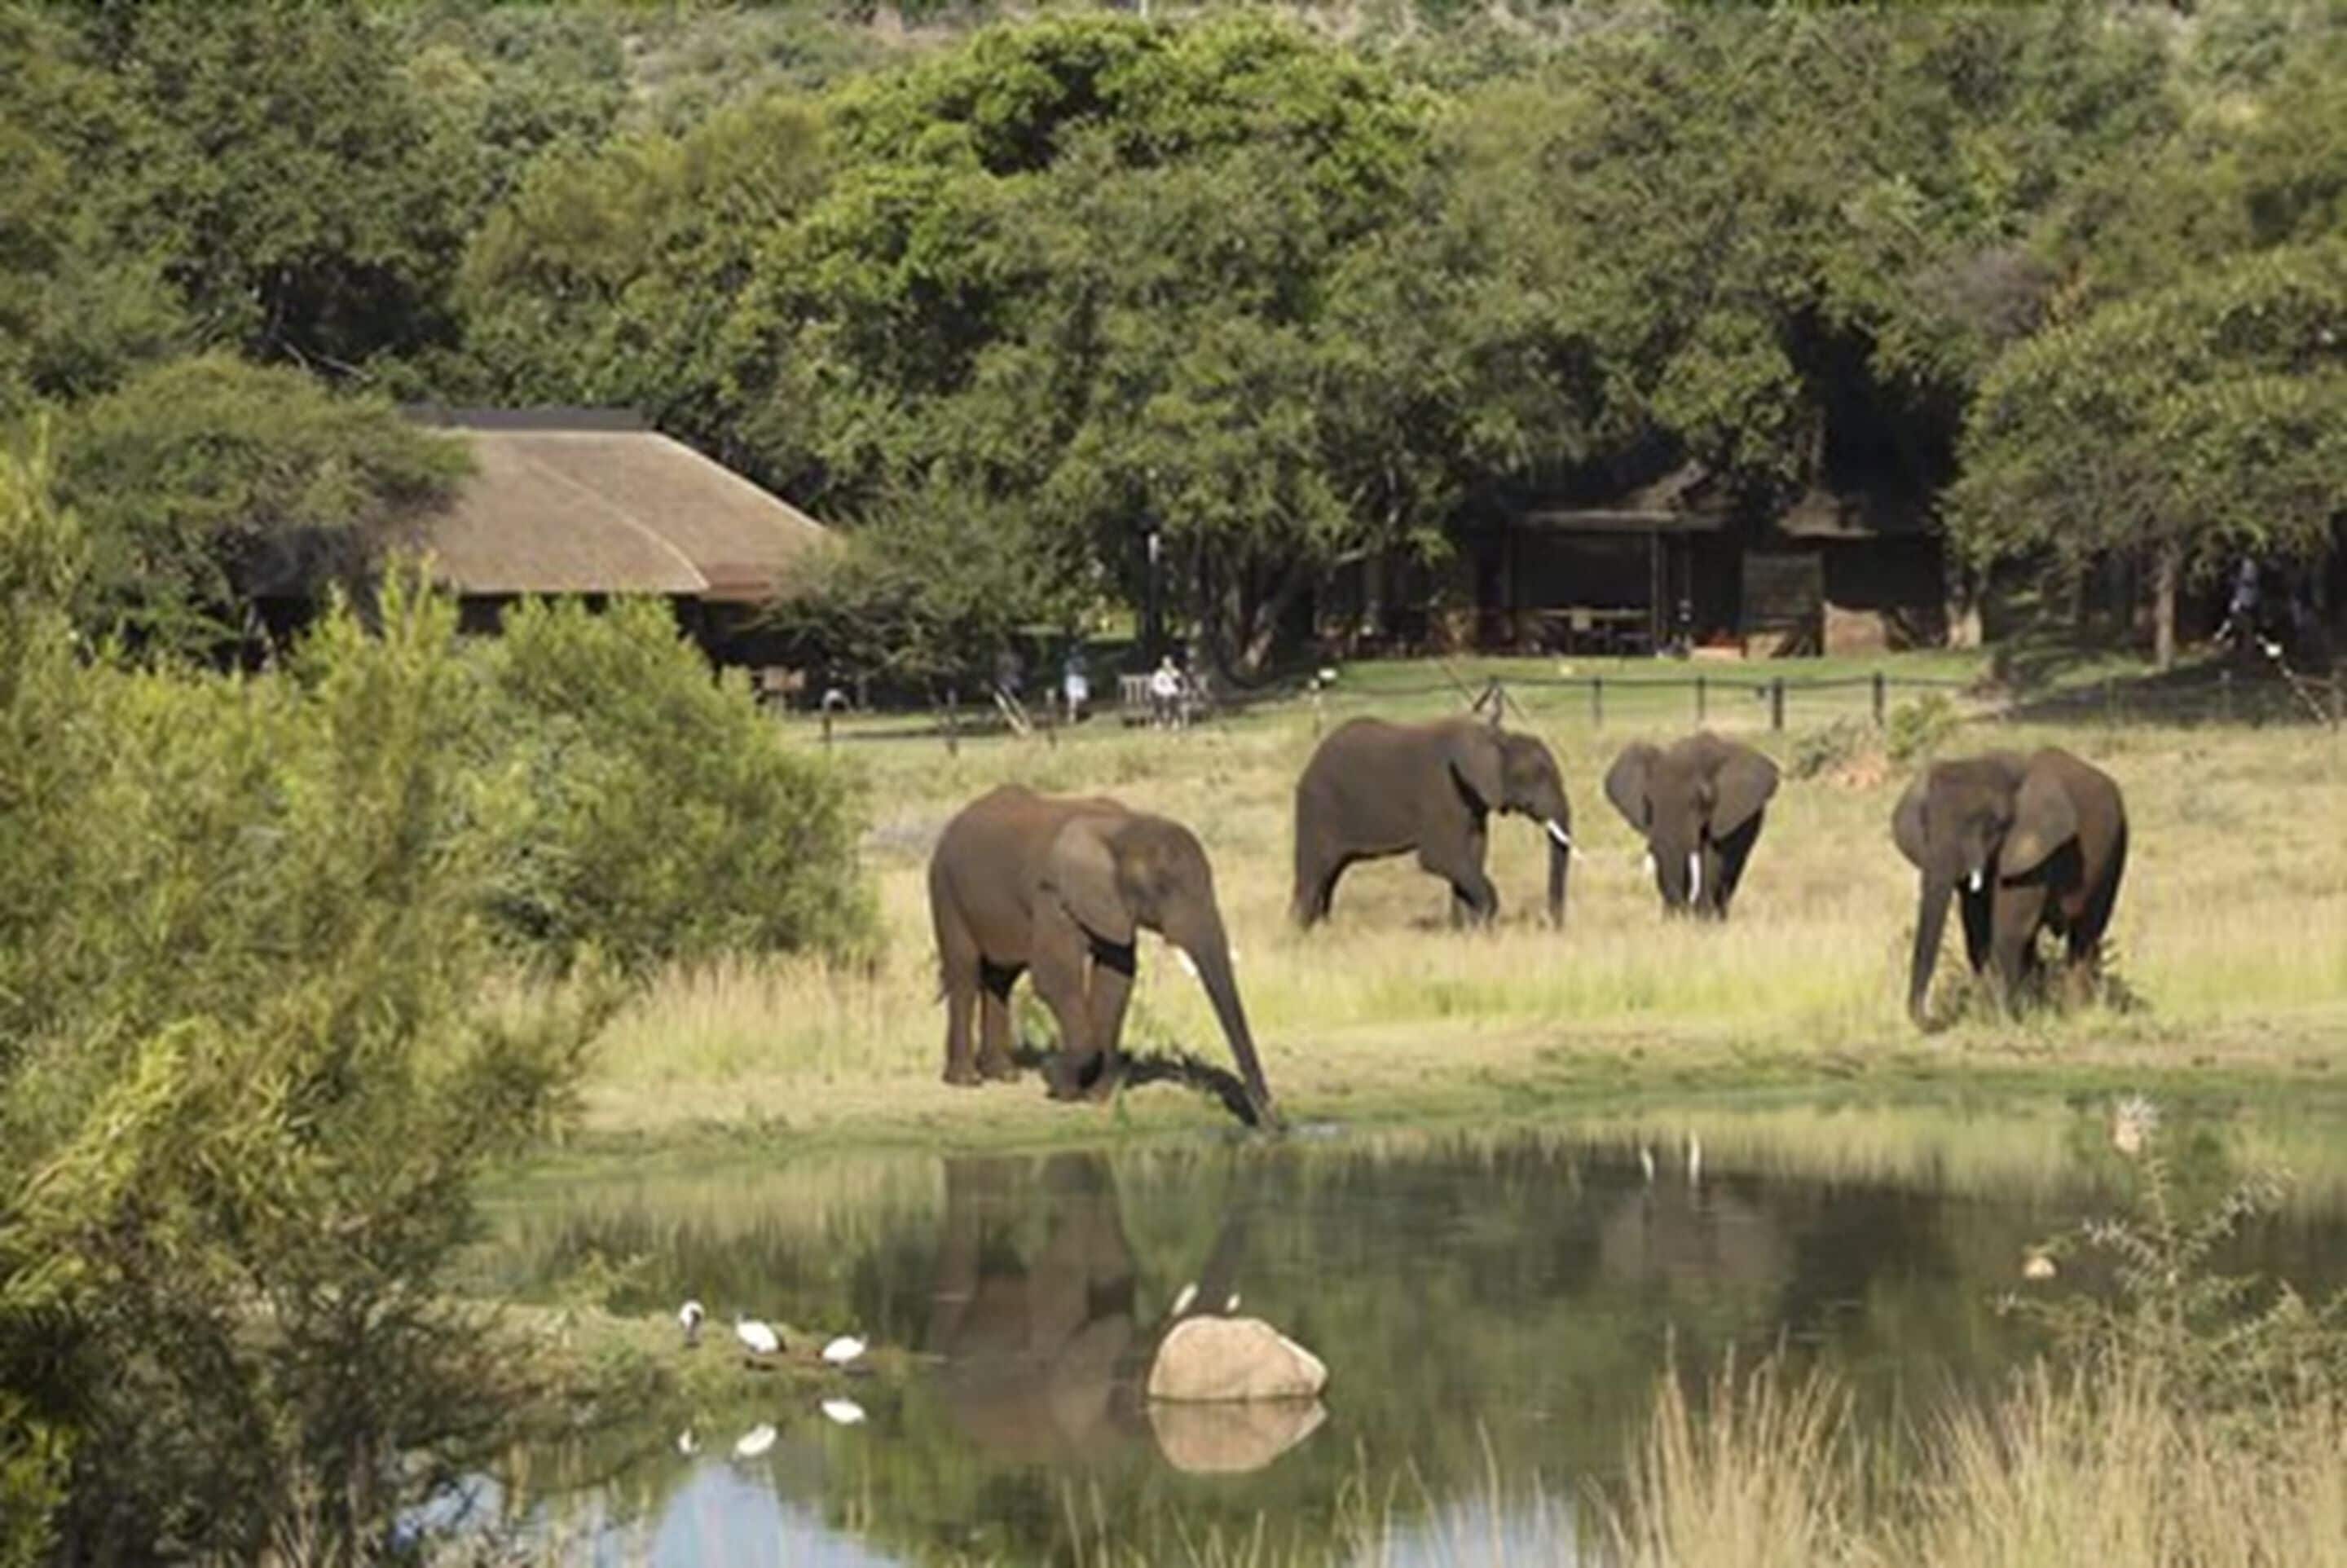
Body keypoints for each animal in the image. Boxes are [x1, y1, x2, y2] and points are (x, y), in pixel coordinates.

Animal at [928, 785, 1279, 1129]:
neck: (1122, 828)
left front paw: (1095, 1096)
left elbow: (1116, 977)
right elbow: (1055, 977)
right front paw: (1059, 1081)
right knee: (965, 971)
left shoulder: (1114, 904)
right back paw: (966, 1080)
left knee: (1001, 978)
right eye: (1163, 888)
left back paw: (1004, 1074)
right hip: (945, 887)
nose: (1273, 1126)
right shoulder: (1052, 896)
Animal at [1290, 717, 1574, 928]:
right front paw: (1483, 921)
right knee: (1314, 869)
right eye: (1535, 776)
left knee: (1331, 873)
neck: (1494, 738)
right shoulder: (1444, 793)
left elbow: (1473, 853)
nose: (1551, 924)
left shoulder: (1472, 804)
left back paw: (1323, 928)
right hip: (1318, 807)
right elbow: (1439, 858)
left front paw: (1464, 931)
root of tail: (1312, 761)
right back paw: (1300, 934)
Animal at [1891, 747, 2128, 1026]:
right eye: (1925, 823)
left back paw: (2079, 1013)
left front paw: (2001, 1017)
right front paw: (1988, 1015)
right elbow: (1977, 929)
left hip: (2116, 846)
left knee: (2087, 932)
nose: (1933, 1020)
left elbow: (2009, 929)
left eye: (1993, 825)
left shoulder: (2035, 852)